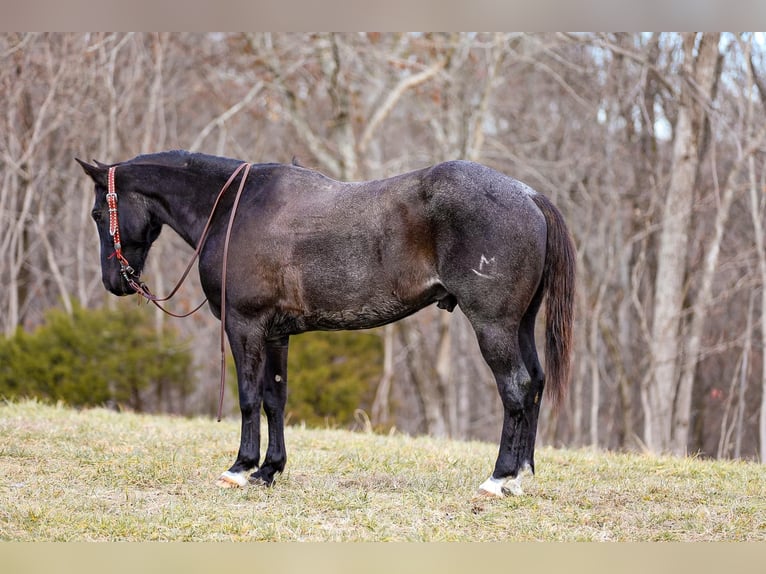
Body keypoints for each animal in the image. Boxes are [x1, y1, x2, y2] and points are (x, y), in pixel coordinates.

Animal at [76, 151, 576, 498]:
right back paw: (521, 475)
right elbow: (275, 400)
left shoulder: (244, 325)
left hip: (492, 326)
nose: (115, 282)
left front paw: (240, 468)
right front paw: (269, 471)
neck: (236, 207)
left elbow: (248, 397)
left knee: (515, 389)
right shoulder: (275, 334)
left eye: (99, 214)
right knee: (534, 382)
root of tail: (528, 195)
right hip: (520, 325)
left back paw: (499, 478)